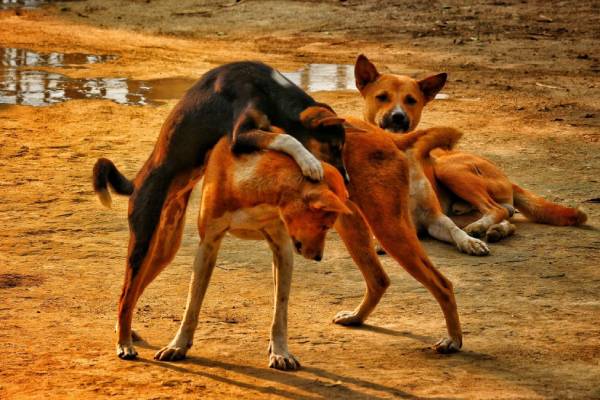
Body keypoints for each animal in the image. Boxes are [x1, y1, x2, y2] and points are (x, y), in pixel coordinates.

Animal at [92, 61, 352, 360]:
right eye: (335, 146)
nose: (347, 181)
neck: (267, 88)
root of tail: (136, 183)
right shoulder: (240, 134)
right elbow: (287, 139)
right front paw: (309, 162)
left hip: (163, 250)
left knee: (128, 294)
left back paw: (125, 331)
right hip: (143, 242)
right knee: (126, 293)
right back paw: (124, 343)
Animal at [356, 54, 584, 245]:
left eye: (411, 100)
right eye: (382, 97)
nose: (398, 116)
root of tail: (506, 178)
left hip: (450, 169)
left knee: (496, 210)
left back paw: (482, 227)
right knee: (506, 216)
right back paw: (495, 230)